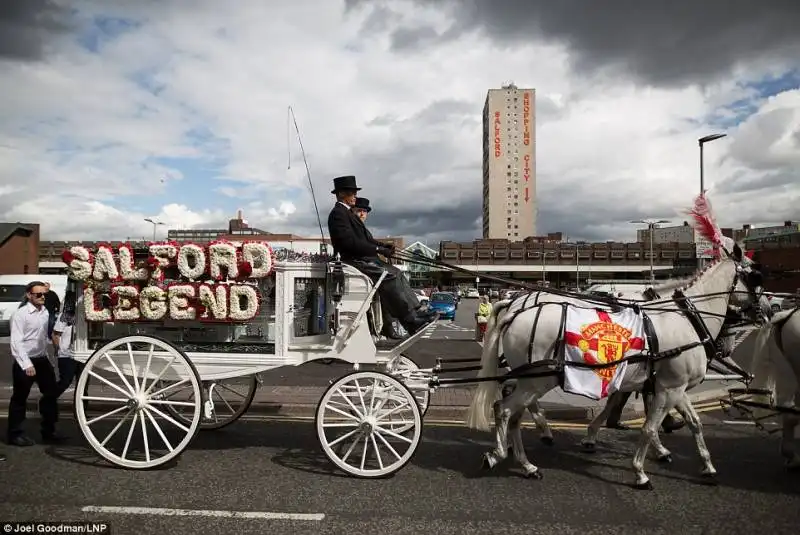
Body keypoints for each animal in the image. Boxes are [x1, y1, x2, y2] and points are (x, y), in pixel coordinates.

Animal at [466, 246, 760, 490]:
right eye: (757, 276)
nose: (763, 312)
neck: (683, 316)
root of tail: (515, 307)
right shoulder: (667, 387)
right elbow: (647, 426)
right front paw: (641, 470)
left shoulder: (670, 386)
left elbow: (694, 422)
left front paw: (706, 466)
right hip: (537, 379)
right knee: (505, 410)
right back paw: (502, 454)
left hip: (532, 378)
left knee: (513, 412)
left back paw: (527, 463)